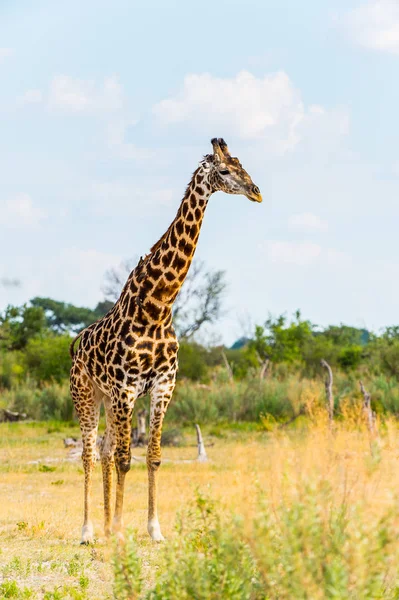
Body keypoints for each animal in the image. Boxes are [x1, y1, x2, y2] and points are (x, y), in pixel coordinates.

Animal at [69, 137, 262, 544]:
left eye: (243, 165)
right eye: (225, 170)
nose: (256, 191)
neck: (159, 305)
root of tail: (76, 346)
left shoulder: (163, 385)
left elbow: (153, 456)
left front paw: (153, 529)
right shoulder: (126, 388)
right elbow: (127, 458)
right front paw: (121, 531)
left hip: (107, 399)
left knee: (105, 450)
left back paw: (105, 525)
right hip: (86, 394)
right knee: (90, 453)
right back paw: (90, 530)